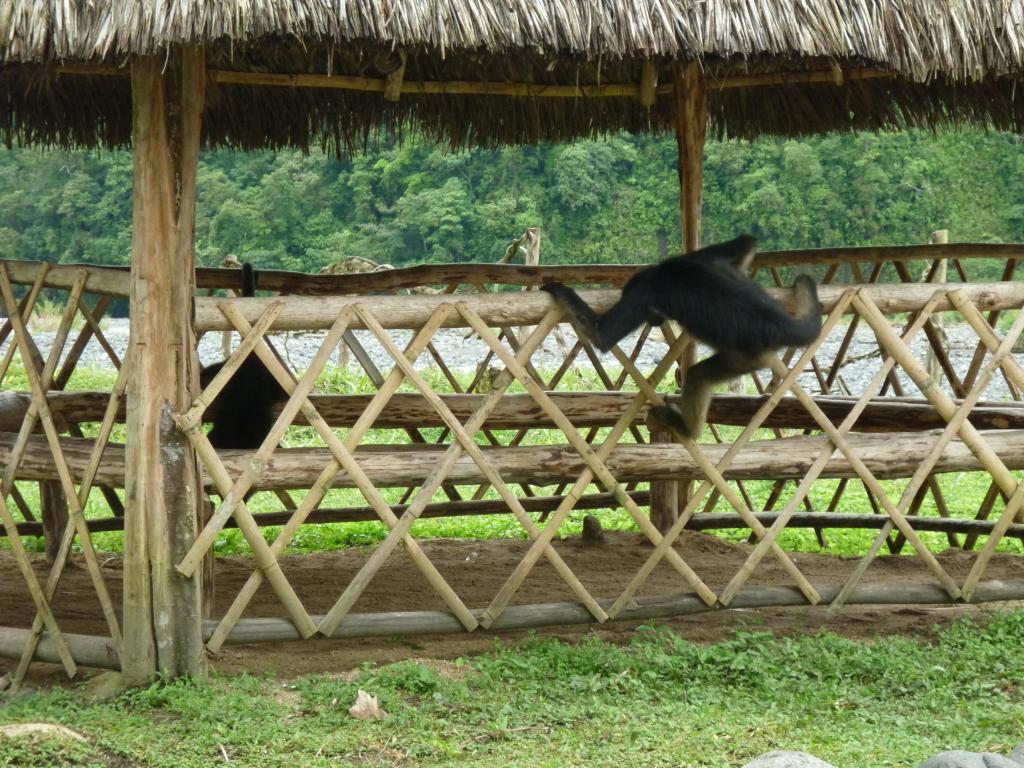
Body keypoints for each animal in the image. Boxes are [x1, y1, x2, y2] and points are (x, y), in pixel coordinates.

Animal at [540, 234, 819, 438]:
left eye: (653, 315)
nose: (654, 321)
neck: (663, 271)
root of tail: (779, 324)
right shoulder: (696, 259)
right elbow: (745, 243)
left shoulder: (644, 291)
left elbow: (602, 336)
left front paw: (558, 288)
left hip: (750, 355)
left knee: (698, 375)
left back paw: (688, 429)